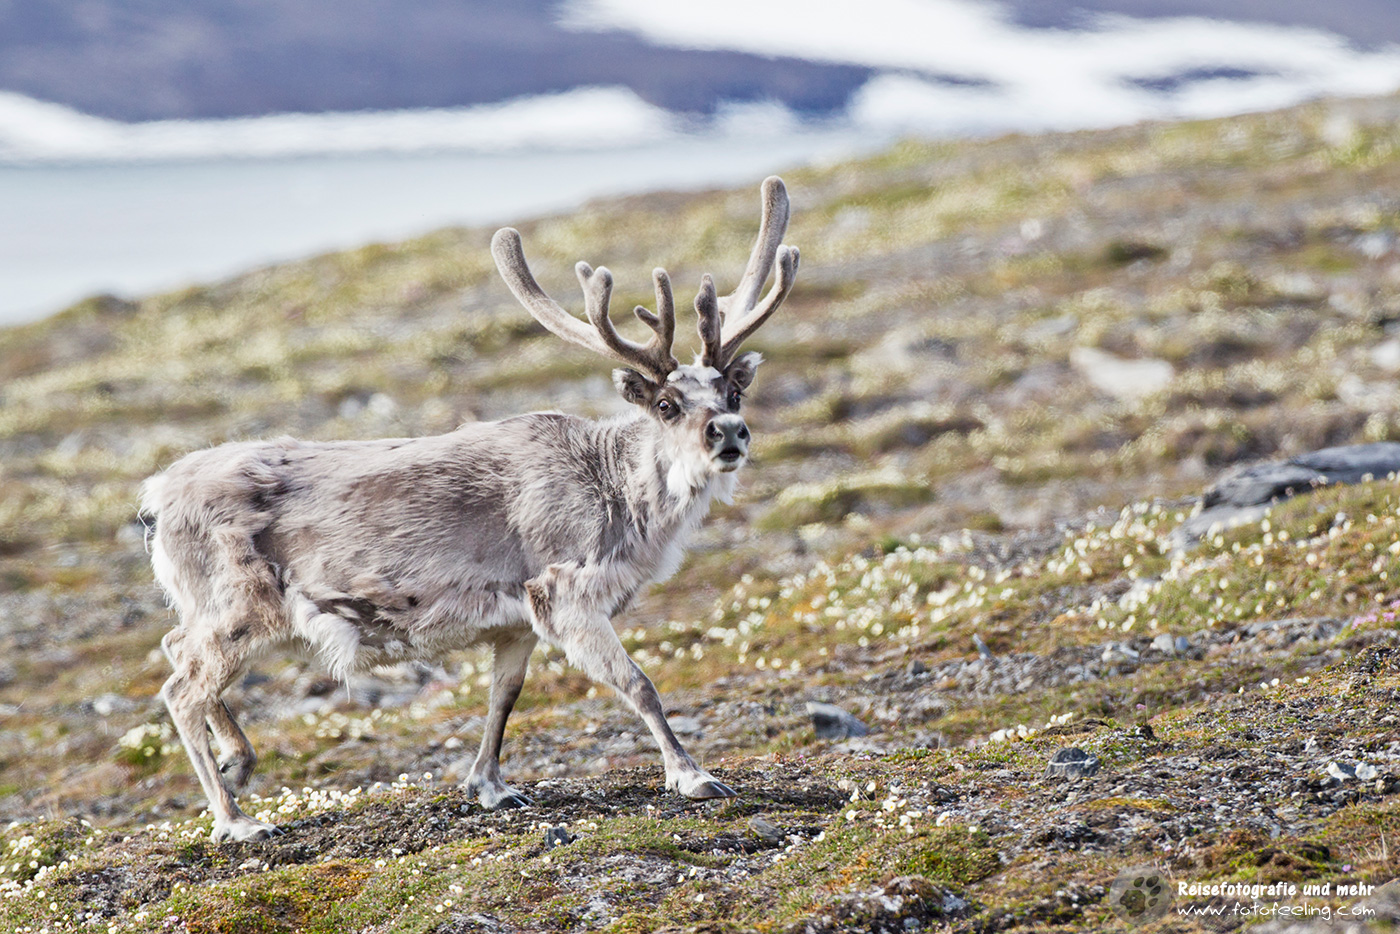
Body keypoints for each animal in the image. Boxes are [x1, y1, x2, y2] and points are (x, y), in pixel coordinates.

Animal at [140, 177, 799, 842]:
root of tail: (157, 495)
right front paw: (692, 776)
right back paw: (235, 818)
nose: (729, 433)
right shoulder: (567, 594)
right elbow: (638, 685)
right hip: (238, 611)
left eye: (733, 391)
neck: (619, 495)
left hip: (222, 616)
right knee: (180, 689)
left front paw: (490, 785)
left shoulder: (516, 623)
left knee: (173, 646)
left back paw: (239, 760)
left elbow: (504, 696)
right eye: (666, 404)